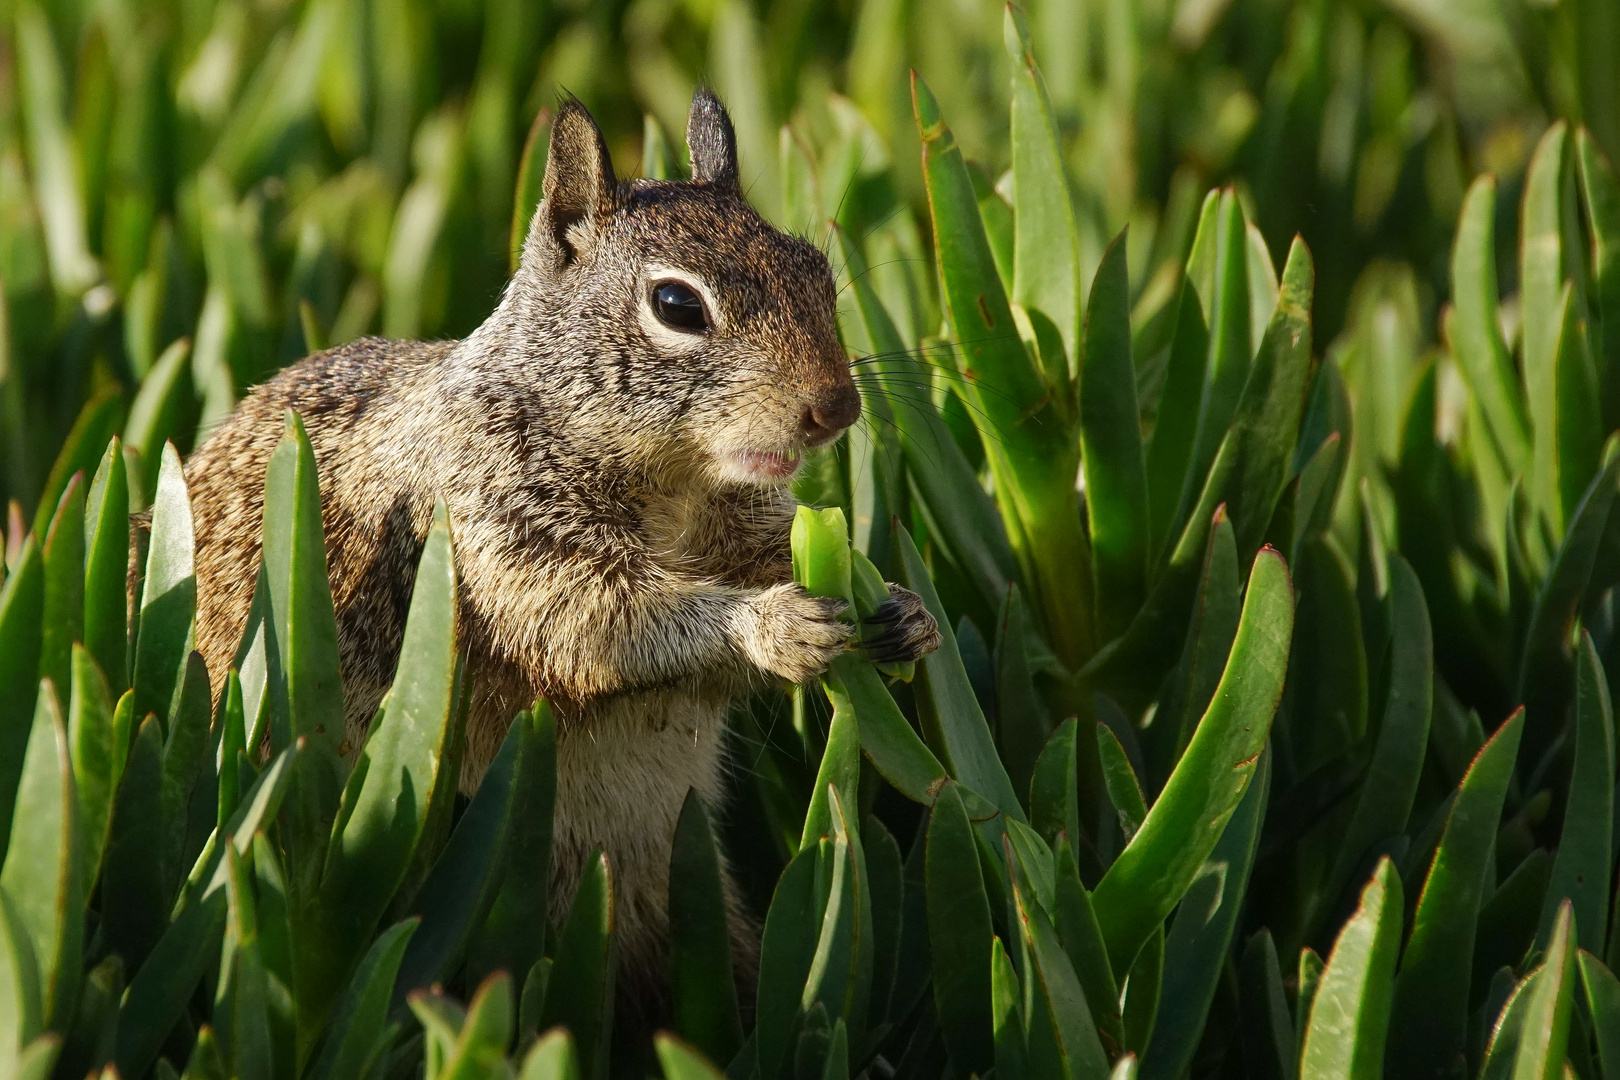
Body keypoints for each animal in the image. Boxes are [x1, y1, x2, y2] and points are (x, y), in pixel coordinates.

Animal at [180, 93, 939, 1023]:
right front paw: (772, 626)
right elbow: (599, 624)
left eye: (817, 273)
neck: (673, 483)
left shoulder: (745, 528)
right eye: (677, 305)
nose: (836, 408)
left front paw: (905, 611)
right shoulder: (499, 533)